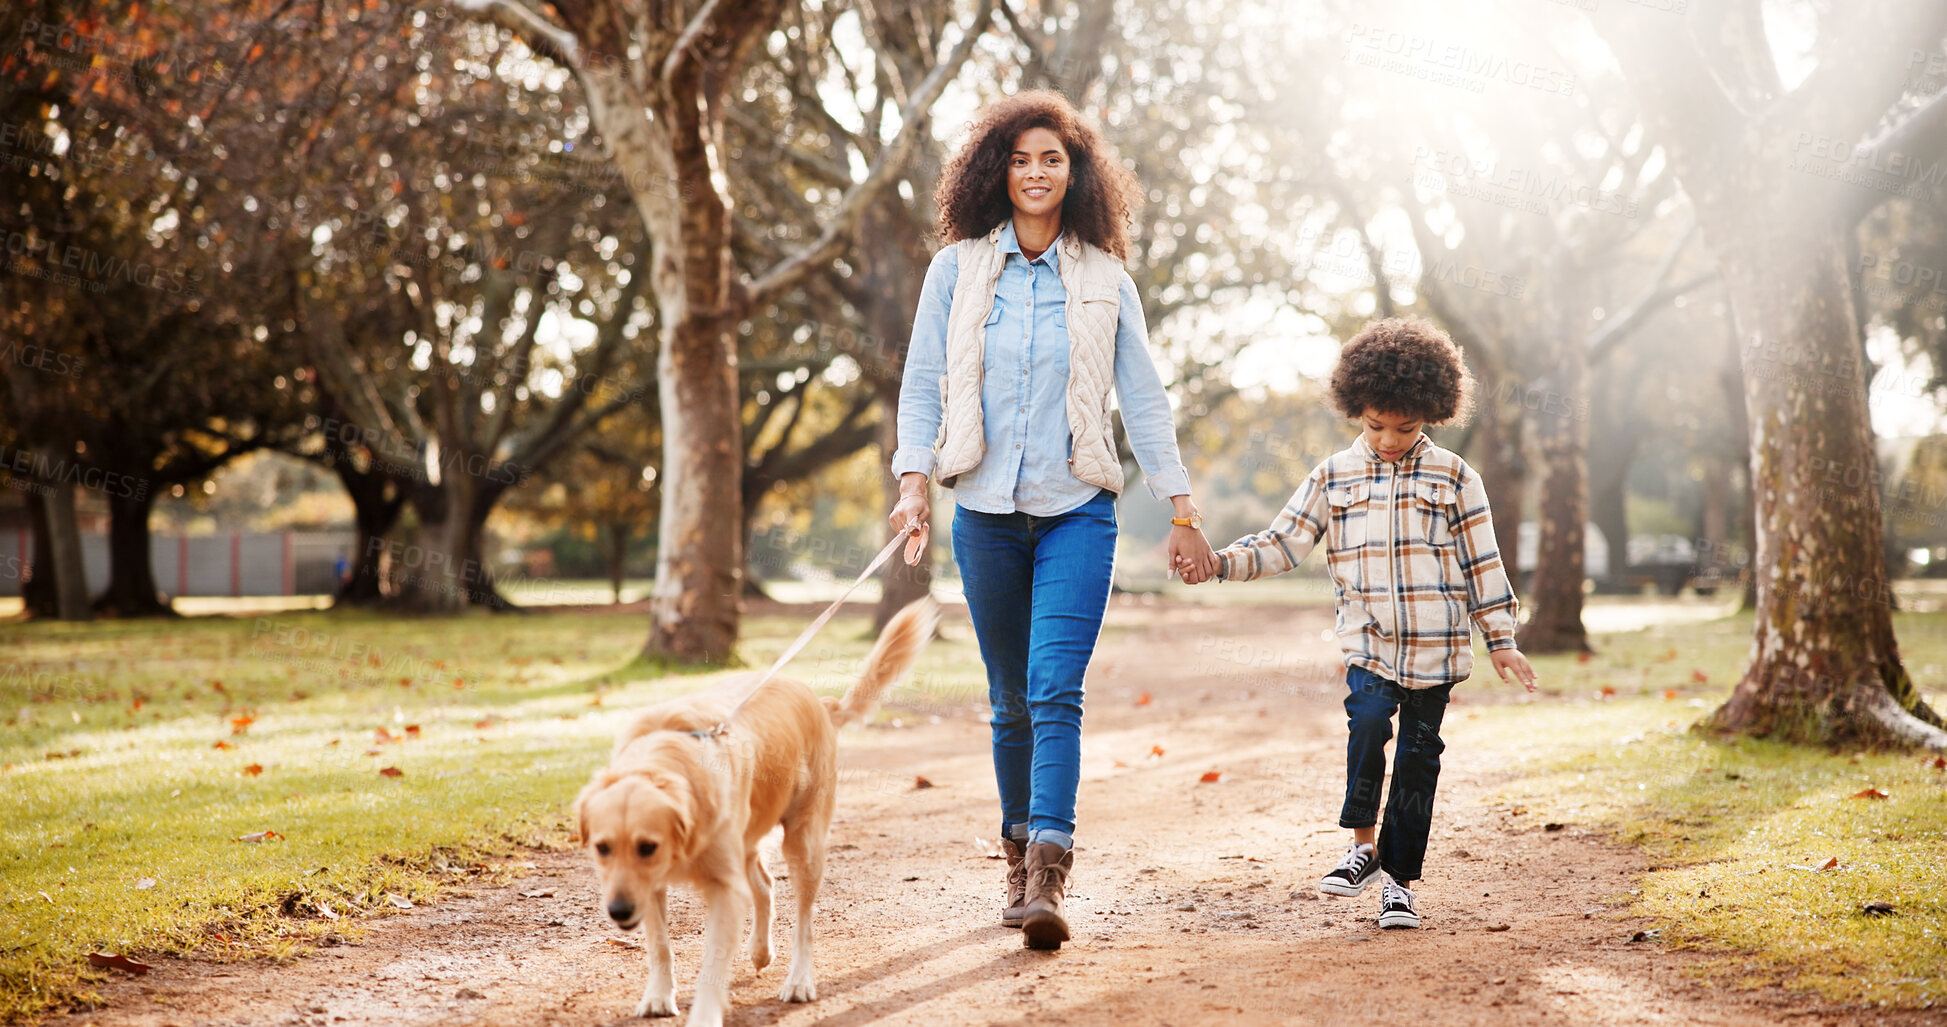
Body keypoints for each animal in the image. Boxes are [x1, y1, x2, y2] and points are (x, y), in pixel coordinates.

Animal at [572, 600, 938, 1021]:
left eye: (648, 847)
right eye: (602, 848)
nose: (617, 910)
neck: (669, 757)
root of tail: (818, 701)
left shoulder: (724, 888)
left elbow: (713, 964)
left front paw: (704, 1014)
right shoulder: (654, 886)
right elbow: (660, 944)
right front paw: (659, 996)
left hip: (803, 843)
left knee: (804, 922)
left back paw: (798, 980)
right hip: (748, 838)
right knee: (764, 884)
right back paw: (761, 952)